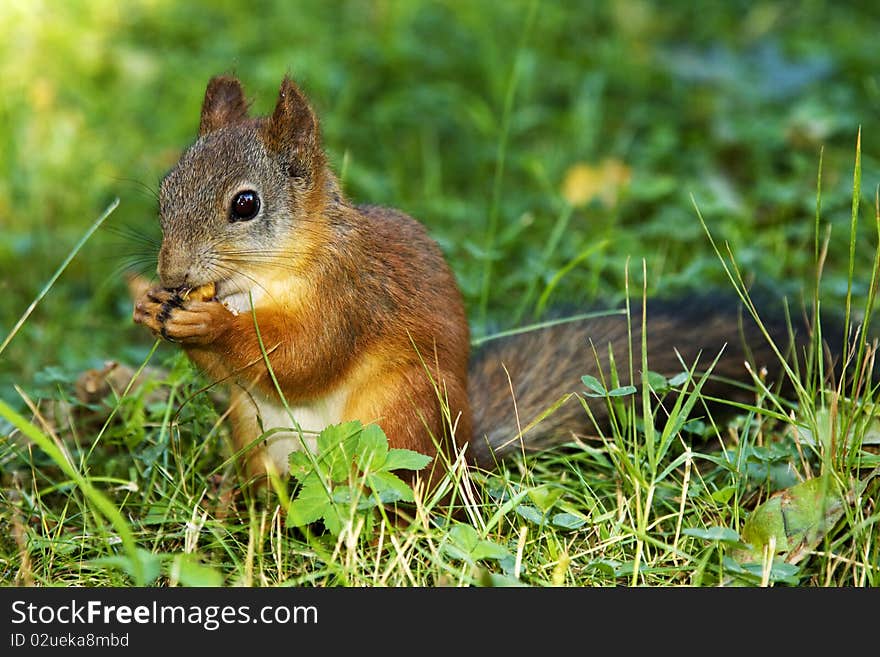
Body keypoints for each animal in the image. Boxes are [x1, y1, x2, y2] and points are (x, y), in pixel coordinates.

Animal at [134, 74, 836, 490]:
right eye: (165, 190)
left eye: (245, 205)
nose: (172, 273)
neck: (262, 279)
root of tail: (466, 452)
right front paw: (150, 306)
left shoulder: (353, 295)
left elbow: (305, 357)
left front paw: (206, 322)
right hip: (252, 429)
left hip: (399, 417)